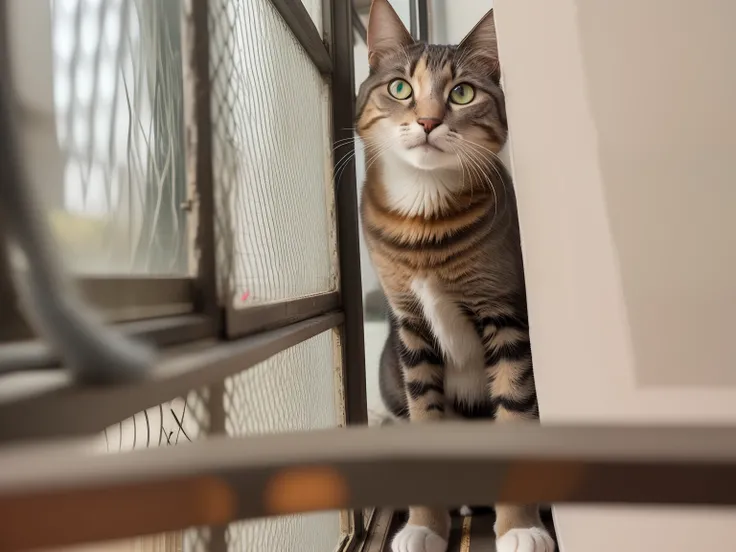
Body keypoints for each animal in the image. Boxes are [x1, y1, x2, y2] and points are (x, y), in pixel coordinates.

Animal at [356, 1, 552, 552]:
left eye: (462, 92)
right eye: (400, 87)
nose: (427, 120)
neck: (423, 222)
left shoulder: (507, 317)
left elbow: (515, 410)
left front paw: (520, 526)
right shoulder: (410, 327)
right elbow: (426, 413)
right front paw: (424, 524)